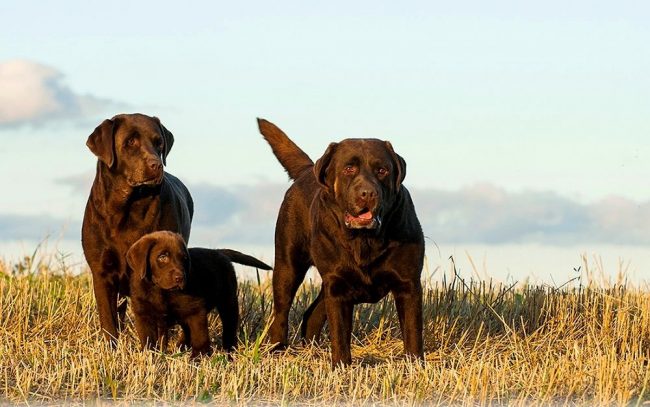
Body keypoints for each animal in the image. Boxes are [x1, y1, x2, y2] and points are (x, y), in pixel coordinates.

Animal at [81, 114, 192, 344]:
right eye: (130, 141)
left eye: (159, 143)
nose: (156, 165)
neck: (124, 207)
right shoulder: (101, 272)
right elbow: (108, 321)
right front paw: (111, 348)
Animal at [125, 233, 270, 356]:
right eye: (162, 257)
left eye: (184, 259)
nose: (180, 278)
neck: (161, 291)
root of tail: (219, 252)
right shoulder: (144, 315)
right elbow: (148, 341)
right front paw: (151, 356)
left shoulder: (196, 311)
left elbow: (199, 336)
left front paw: (199, 357)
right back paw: (181, 346)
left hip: (228, 302)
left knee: (229, 326)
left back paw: (229, 351)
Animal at [258, 118, 426, 366]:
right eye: (349, 168)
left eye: (382, 170)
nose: (367, 193)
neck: (364, 240)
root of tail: (307, 170)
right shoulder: (337, 288)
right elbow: (340, 334)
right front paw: (341, 366)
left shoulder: (408, 284)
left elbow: (413, 333)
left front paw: (414, 365)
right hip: (288, 265)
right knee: (280, 312)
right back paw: (278, 350)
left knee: (312, 314)